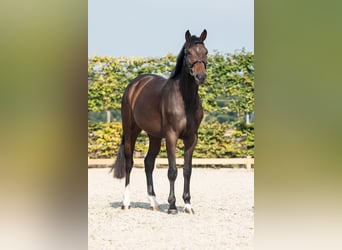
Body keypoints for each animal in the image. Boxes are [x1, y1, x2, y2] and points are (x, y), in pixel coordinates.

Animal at [111, 28, 208, 213]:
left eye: (205, 52)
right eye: (188, 52)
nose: (200, 76)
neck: (185, 99)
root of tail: (135, 84)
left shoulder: (192, 138)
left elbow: (187, 170)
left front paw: (187, 205)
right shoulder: (171, 136)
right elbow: (172, 170)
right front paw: (172, 206)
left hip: (154, 136)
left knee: (148, 162)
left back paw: (153, 202)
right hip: (131, 130)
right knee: (129, 162)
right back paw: (126, 202)